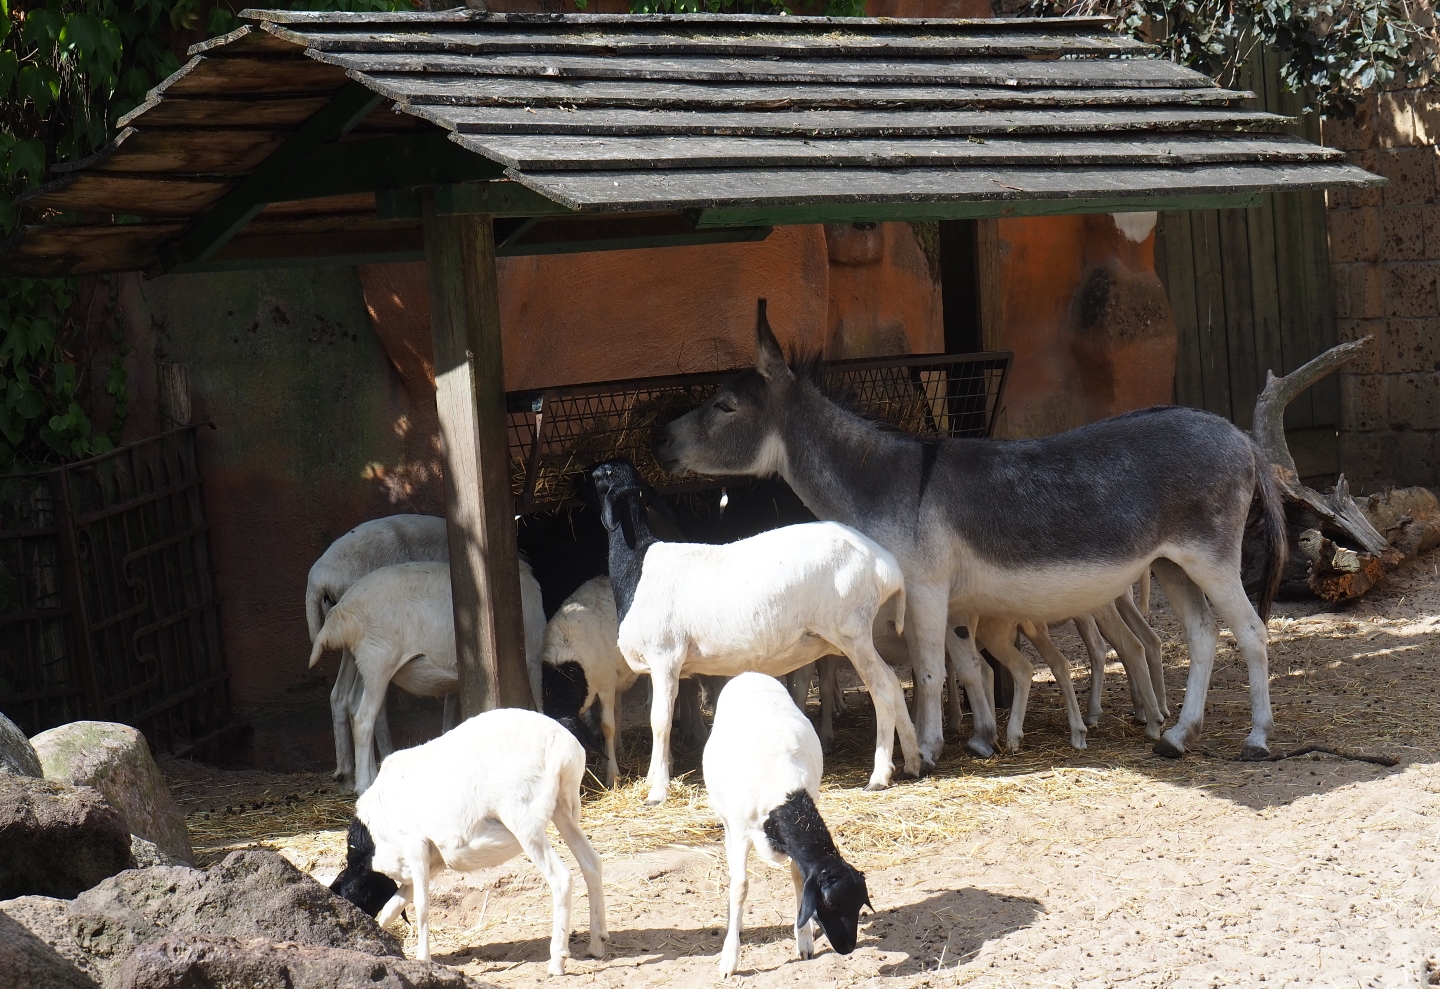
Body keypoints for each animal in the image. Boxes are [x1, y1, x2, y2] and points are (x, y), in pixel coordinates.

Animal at [308, 559, 545, 794]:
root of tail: (341, 611)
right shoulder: (532, 661)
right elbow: (538, 709)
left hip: (359, 661)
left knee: (348, 701)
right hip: (378, 660)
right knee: (364, 718)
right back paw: (363, 784)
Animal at [329, 707, 607, 974]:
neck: (372, 841)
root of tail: (562, 743)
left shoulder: (416, 847)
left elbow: (421, 906)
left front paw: (423, 958)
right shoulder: (433, 860)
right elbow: (394, 906)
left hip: (524, 820)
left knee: (561, 878)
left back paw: (557, 960)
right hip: (563, 808)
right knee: (591, 863)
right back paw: (597, 942)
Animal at [588, 458, 922, 805]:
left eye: (602, 476)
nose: (591, 472)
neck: (637, 564)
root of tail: (884, 564)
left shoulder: (664, 657)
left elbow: (661, 721)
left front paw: (657, 791)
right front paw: (655, 779)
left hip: (851, 630)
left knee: (881, 689)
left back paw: (879, 776)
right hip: (856, 635)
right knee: (893, 683)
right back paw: (913, 762)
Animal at [704, 672, 870, 978]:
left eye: (860, 901)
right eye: (830, 902)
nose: (848, 947)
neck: (784, 796)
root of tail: (749, 672)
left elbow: (799, 878)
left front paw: (803, 938)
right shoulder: (741, 831)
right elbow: (740, 886)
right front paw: (729, 959)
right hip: (727, 820)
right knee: (733, 870)